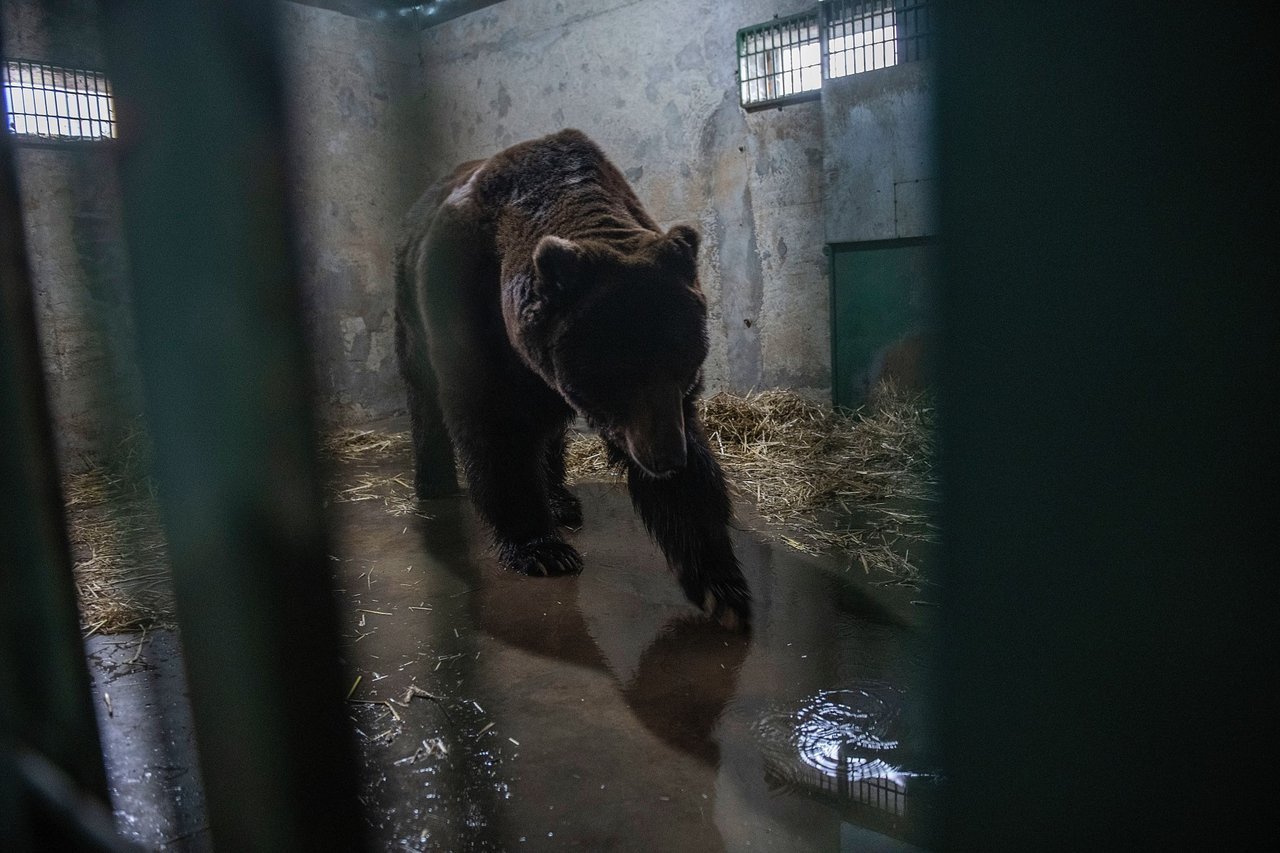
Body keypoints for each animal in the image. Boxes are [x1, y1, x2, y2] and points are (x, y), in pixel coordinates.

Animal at [391, 129, 747, 627]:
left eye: (686, 367)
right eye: (621, 375)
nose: (665, 457)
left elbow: (692, 476)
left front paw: (718, 581)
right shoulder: (471, 310)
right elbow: (492, 425)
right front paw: (541, 549)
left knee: (549, 430)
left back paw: (561, 499)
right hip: (412, 314)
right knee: (423, 396)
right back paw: (434, 484)